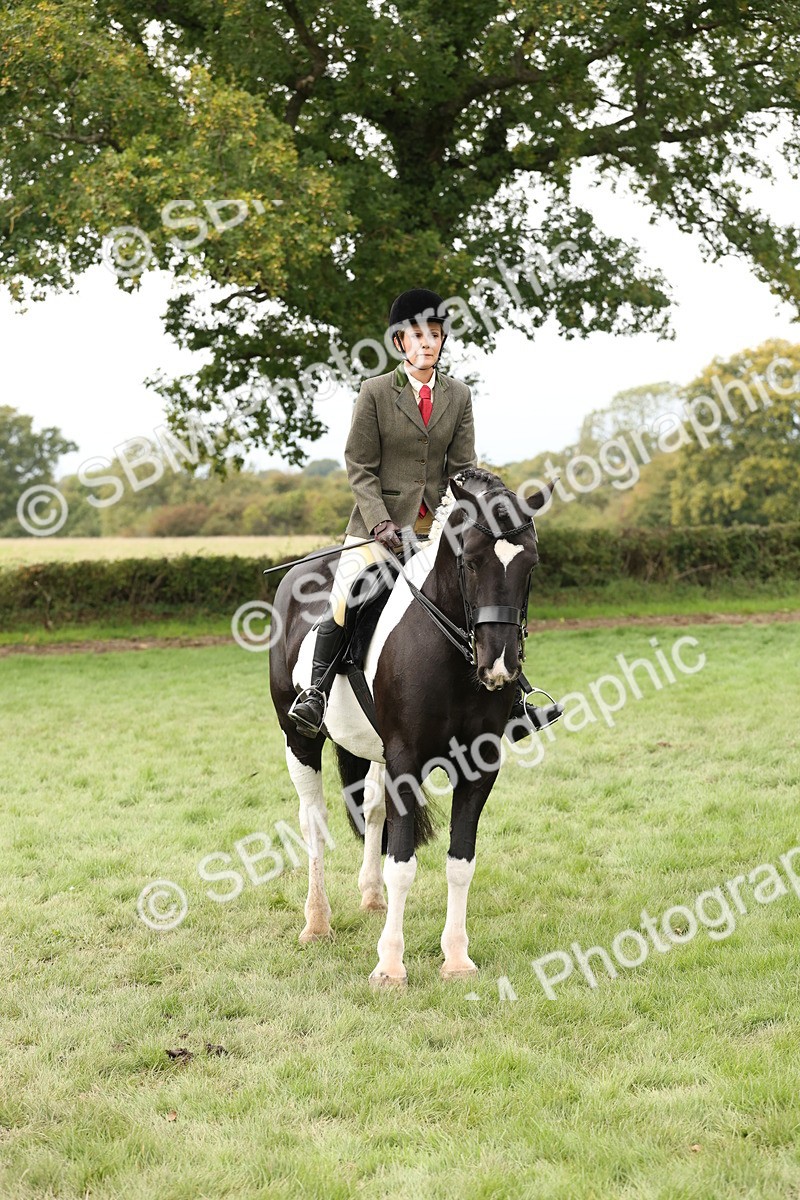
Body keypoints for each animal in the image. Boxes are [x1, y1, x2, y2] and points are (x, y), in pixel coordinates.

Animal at [268, 467, 555, 986]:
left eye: (531, 564)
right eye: (471, 562)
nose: (498, 665)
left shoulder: (479, 766)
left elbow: (460, 861)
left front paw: (457, 959)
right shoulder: (406, 762)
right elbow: (401, 865)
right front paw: (390, 966)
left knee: (374, 811)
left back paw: (370, 899)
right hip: (297, 736)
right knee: (313, 821)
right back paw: (317, 924)